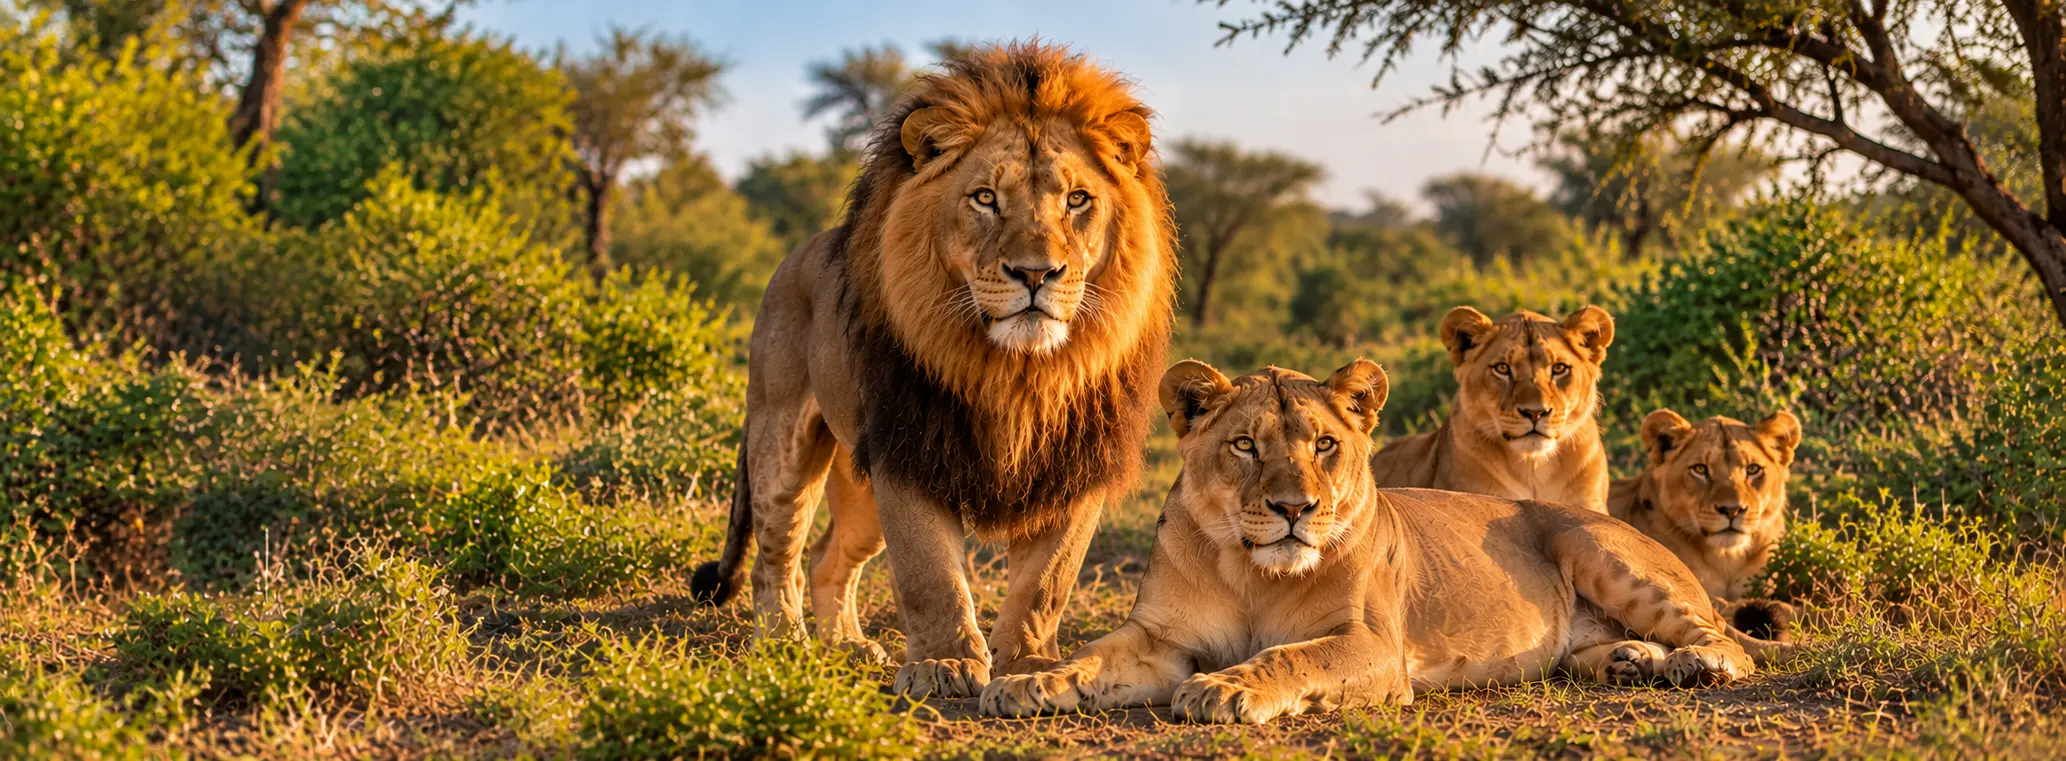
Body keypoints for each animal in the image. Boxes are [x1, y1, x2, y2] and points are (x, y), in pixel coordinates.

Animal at [686, 42, 1177, 700]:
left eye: (1078, 200)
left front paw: (1028, 665)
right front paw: (944, 664)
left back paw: (846, 644)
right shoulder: (908, 448)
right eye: (985, 198)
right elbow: (929, 572)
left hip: (860, 489)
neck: (1017, 372)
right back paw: (785, 646)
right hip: (781, 440)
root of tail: (796, 253)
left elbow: (1046, 581)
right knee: (777, 554)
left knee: (827, 557)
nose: (1036, 273)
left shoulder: (1077, 464)